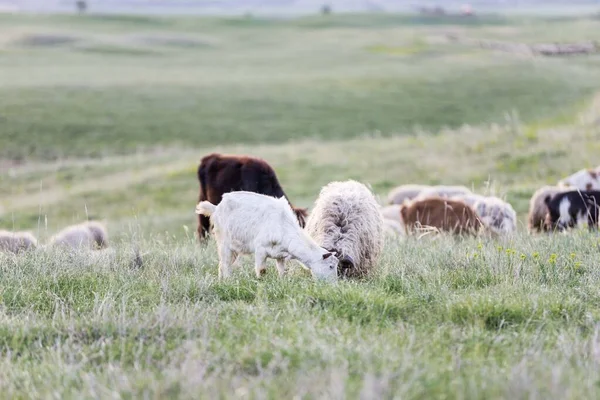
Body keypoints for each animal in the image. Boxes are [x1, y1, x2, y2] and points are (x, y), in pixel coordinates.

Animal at [196, 191, 340, 280]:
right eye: (330, 266)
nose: (333, 285)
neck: (282, 225)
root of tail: (216, 208)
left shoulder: (280, 256)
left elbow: (283, 271)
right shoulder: (260, 250)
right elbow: (262, 270)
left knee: (222, 264)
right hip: (224, 242)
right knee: (225, 263)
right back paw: (228, 280)